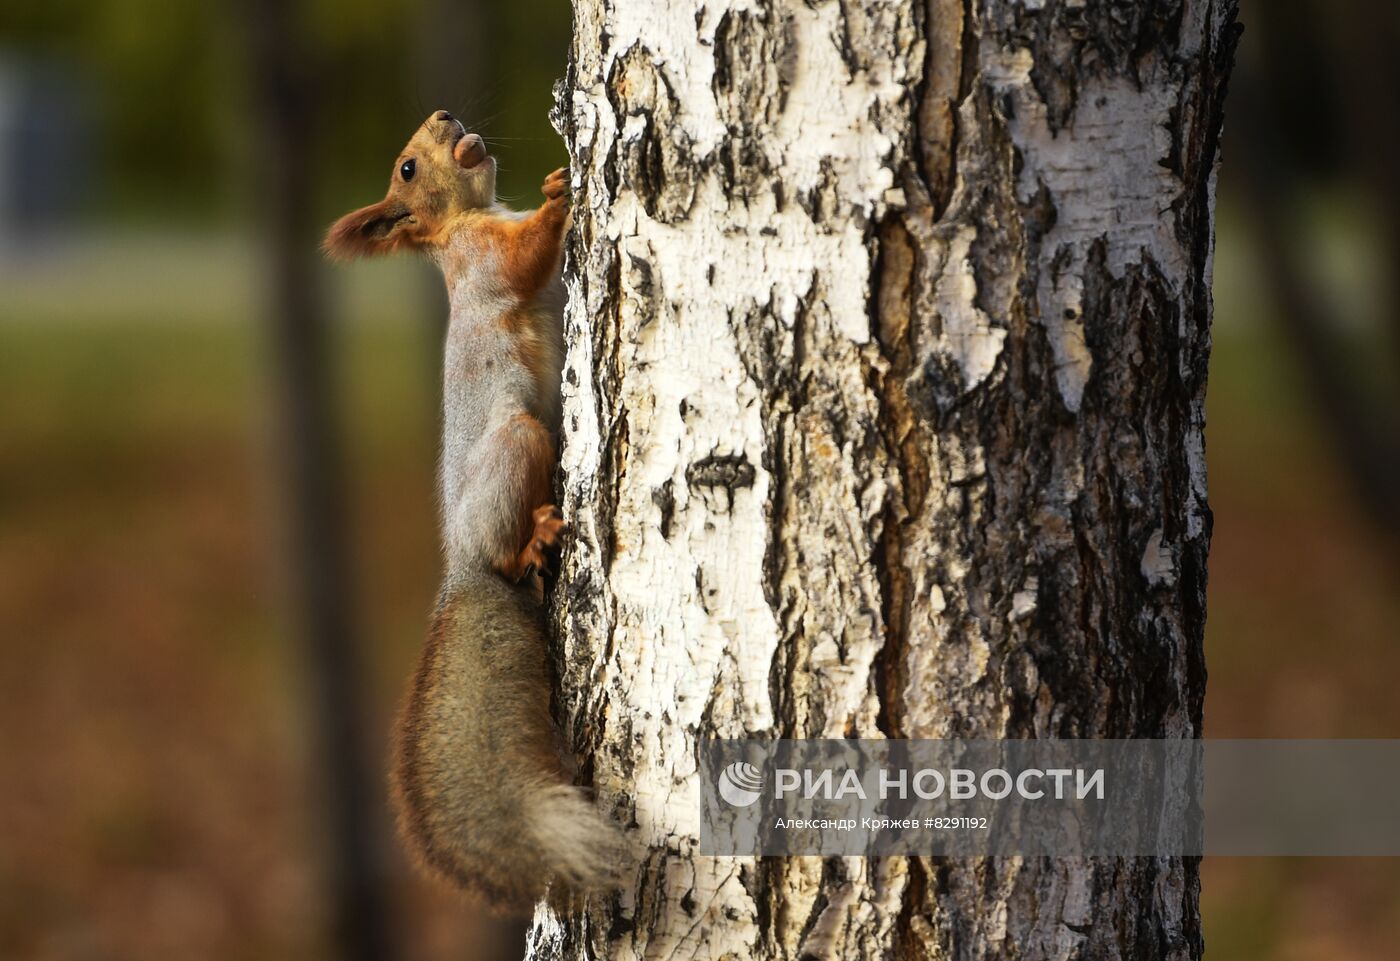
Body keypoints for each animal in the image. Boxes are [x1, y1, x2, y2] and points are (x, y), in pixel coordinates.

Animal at [324, 111, 621, 913]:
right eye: (405, 167)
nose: (445, 117)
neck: (470, 217)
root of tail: (462, 568)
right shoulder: (484, 259)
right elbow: (524, 259)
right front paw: (560, 193)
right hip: (519, 441)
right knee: (507, 541)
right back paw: (533, 541)